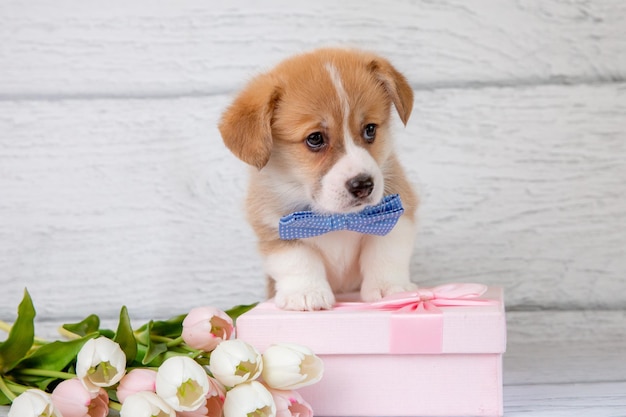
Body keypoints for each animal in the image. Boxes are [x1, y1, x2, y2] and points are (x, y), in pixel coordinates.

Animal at [217, 48, 416, 308]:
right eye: (315, 138)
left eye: (370, 129)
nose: (363, 185)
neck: (338, 217)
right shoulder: (277, 229)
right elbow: (298, 262)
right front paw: (305, 293)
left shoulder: (396, 214)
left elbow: (385, 254)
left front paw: (390, 288)